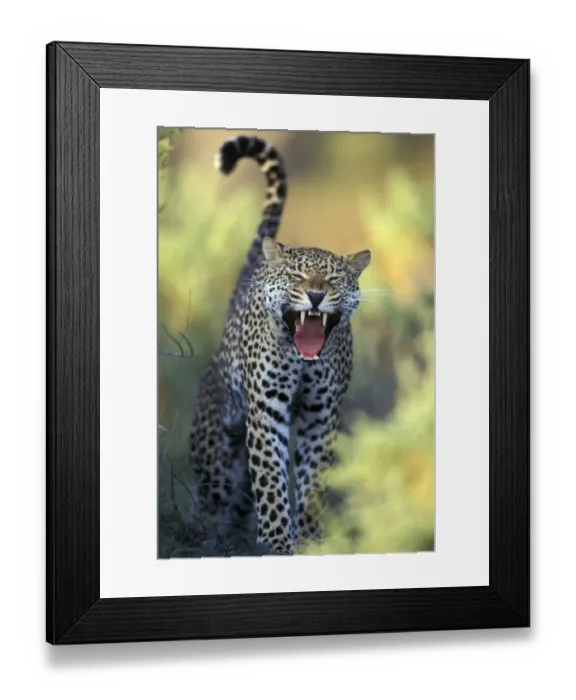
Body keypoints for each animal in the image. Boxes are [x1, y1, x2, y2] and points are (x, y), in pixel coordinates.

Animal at [188, 135, 371, 555]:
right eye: (298, 276)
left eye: (333, 279)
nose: (316, 296)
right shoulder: (266, 411)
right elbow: (271, 478)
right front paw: (275, 543)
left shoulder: (321, 415)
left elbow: (313, 480)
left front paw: (309, 540)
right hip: (216, 441)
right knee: (213, 492)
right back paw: (209, 532)